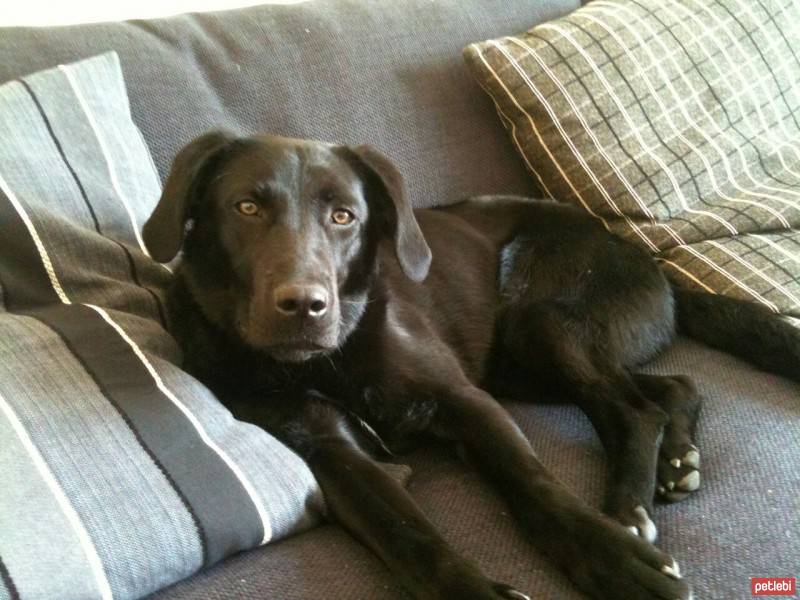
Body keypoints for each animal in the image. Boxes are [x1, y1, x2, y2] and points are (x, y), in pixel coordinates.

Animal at [142, 132, 800, 600]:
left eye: (344, 216)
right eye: (246, 207)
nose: (304, 307)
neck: (329, 361)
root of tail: (647, 255)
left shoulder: (466, 400)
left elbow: (537, 488)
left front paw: (614, 562)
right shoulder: (332, 456)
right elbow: (409, 539)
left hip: (538, 318)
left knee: (632, 408)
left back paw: (627, 512)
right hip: (520, 363)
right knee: (672, 385)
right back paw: (676, 462)